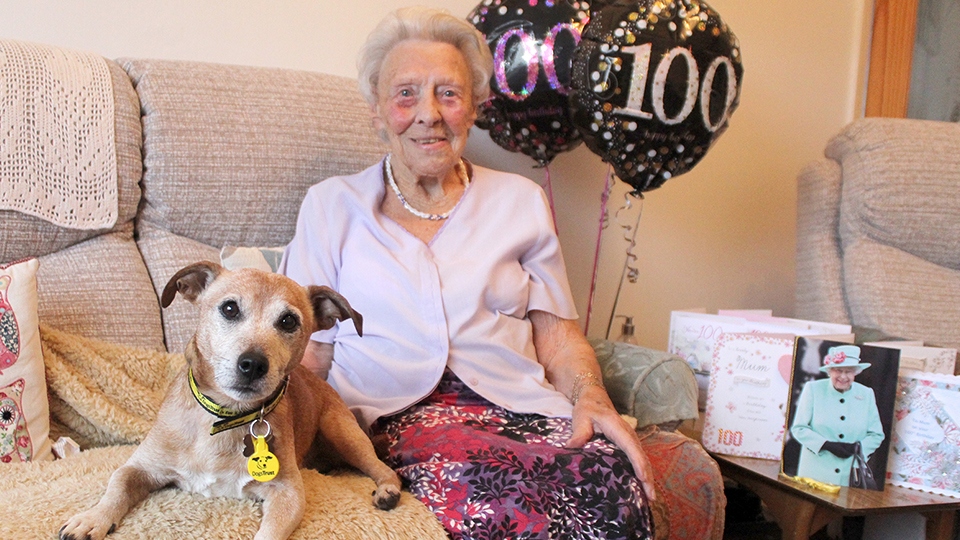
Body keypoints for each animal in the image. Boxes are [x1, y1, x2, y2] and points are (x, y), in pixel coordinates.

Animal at [57, 262, 402, 540]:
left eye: (289, 321)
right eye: (229, 309)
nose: (253, 364)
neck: (224, 417)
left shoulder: (288, 492)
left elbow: (269, 534)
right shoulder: (140, 467)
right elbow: (117, 486)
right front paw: (92, 518)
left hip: (341, 431)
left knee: (383, 468)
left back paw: (388, 490)